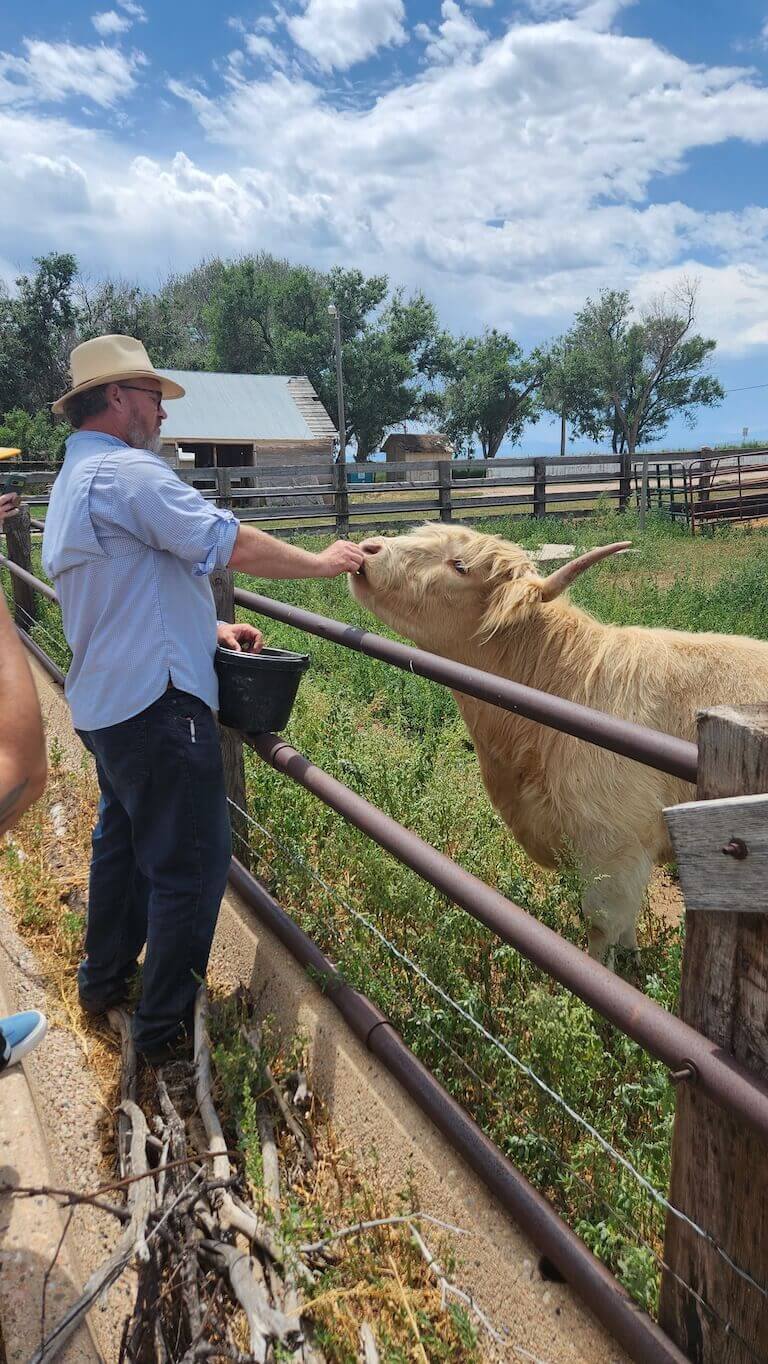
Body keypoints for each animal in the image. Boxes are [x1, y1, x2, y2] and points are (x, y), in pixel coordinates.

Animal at [351, 521, 768, 960]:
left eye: (459, 565)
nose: (369, 548)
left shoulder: (614, 849)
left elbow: (602, 930)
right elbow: (626, 928)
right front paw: (634, 958)